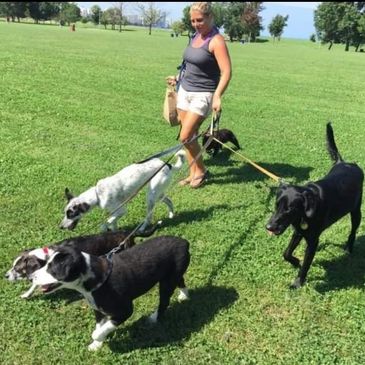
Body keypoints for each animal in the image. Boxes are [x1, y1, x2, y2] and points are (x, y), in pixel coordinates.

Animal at [32, 236, 191, 350]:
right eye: (46, 264)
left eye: (52, 269)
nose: (32, 277)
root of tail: (184, 242)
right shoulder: (98, 309)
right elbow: (100, 325)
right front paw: (96, 346)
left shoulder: (125, 310)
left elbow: (102, 328)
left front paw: (97, 338)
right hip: (173, 274)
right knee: (181, 281)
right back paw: (184, 296)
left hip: (167, 282)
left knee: (164, 301)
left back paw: (154, 318)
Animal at [266, 122, 362, 288]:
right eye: (276, 205)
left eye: (289, 209)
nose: (269, 227)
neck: (306, 210)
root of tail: (344, 162)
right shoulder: (298, 231)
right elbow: (287, 253)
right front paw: (295, 261)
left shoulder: (312, 241)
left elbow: (306, 264)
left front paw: (298, 283)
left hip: (356, 211)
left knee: (353, 231)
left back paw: (349, 248)